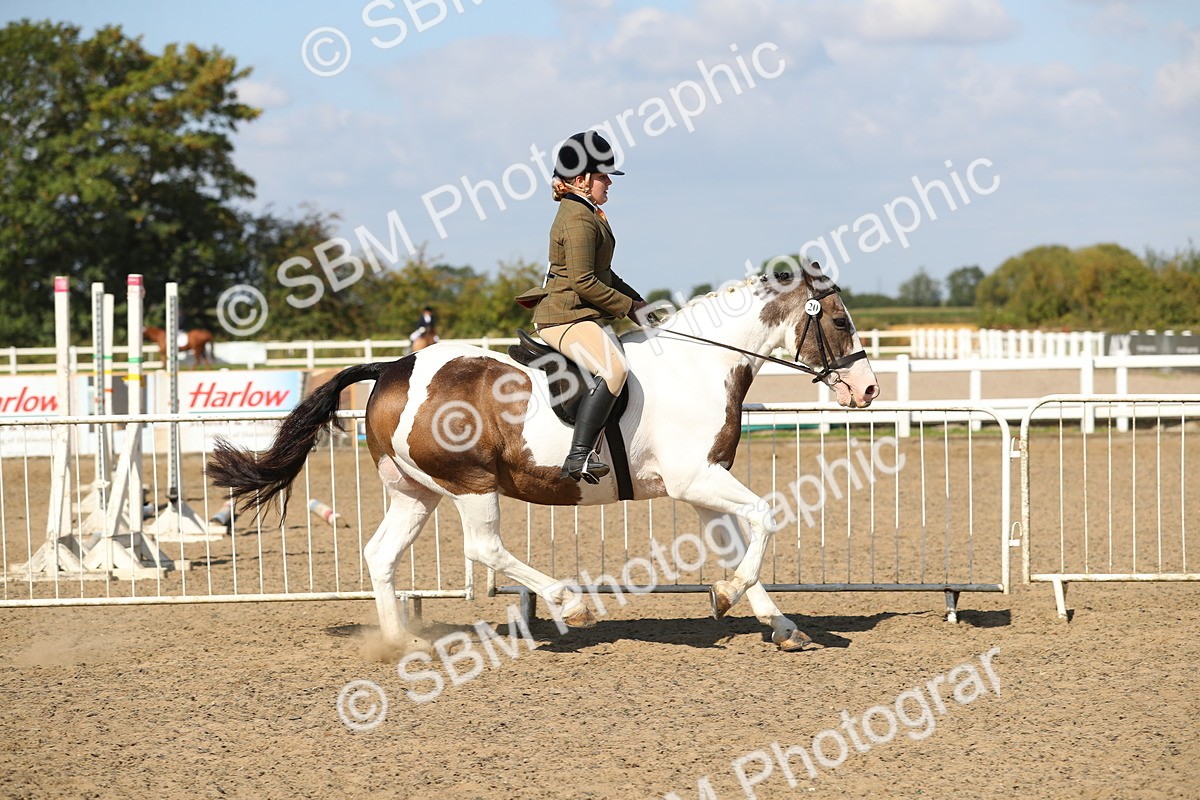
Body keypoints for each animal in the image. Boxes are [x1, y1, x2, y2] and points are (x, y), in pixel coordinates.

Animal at [207, 267, 879, 654]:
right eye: (839, 319)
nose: (868, 389)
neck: (700, 364)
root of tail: (394, 366)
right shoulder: (699, 478)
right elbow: (765, 516)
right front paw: (729, 595)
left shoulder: (697, 485)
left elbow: (738, 542)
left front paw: (767, 618)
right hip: (470, 482)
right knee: (483, 548)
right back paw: (567, 602)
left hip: (414, 491)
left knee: (381, 553)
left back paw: (398, 643)